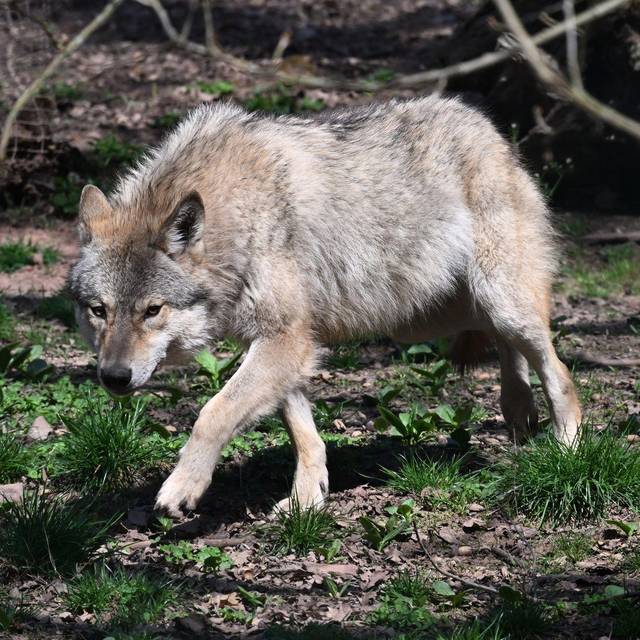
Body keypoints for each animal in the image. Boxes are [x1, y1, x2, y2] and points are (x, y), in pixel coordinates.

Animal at [68, 96, 582, 517]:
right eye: (99, 310)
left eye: (152, 310)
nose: (113, 377)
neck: (237, 217)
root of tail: (491, 130)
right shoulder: (287, 343)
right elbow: (303, 433)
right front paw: (307, 499)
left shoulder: (286, 339)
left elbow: (213, 413)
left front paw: (182, 487)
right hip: (427, 317)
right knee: (503, 343)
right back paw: (518, 410)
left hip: (496, 300)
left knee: (557, 369)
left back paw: (566, 448)